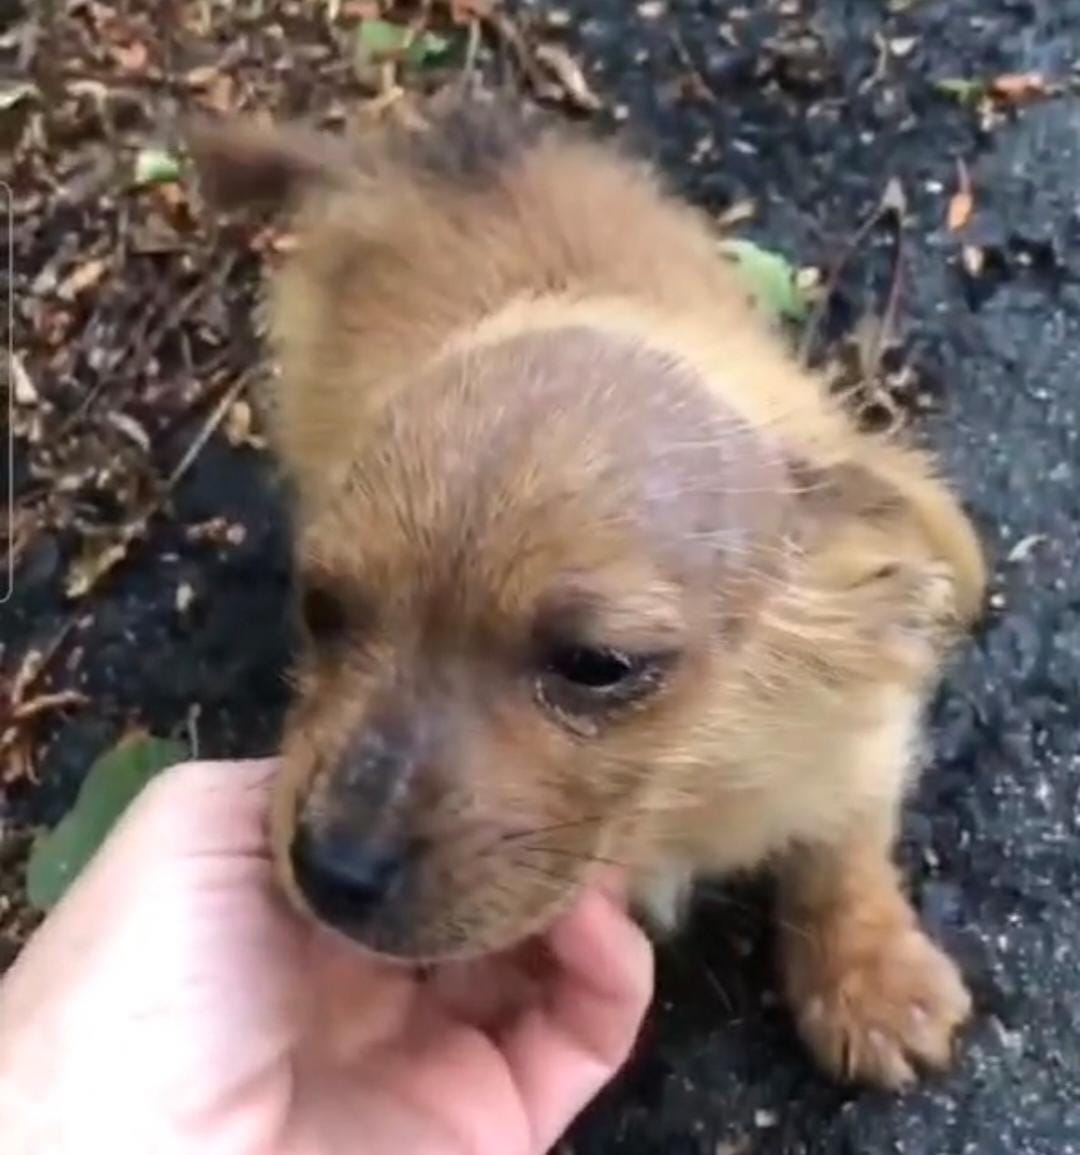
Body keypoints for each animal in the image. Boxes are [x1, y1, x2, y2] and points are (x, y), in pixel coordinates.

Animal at [190, 97, 984, 1081]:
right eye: (323, 611)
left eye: (597, 663)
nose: (330, 872)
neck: (689, 799)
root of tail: (402, 154)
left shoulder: (858, 728)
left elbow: (843, 849)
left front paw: (871, 979)